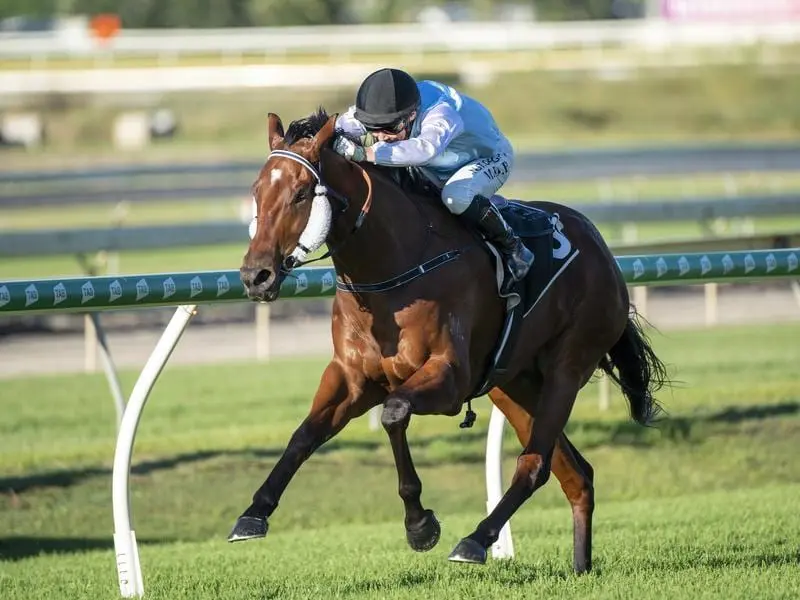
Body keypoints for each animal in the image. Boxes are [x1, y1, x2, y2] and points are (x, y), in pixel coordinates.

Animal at [228, 108, 664, 572]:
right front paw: (254, 512)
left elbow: (394, 413)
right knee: (575, 473)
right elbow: (304, 435)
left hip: (567, 369)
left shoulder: (449, 377)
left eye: (300, 194)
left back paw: (475, 541)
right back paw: (580, 568)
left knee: (535, 463)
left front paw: (419, 524)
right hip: (514, 384)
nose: (256, 275)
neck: (394, 265)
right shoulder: (353, 377)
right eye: (256, 192)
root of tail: (601, 248)